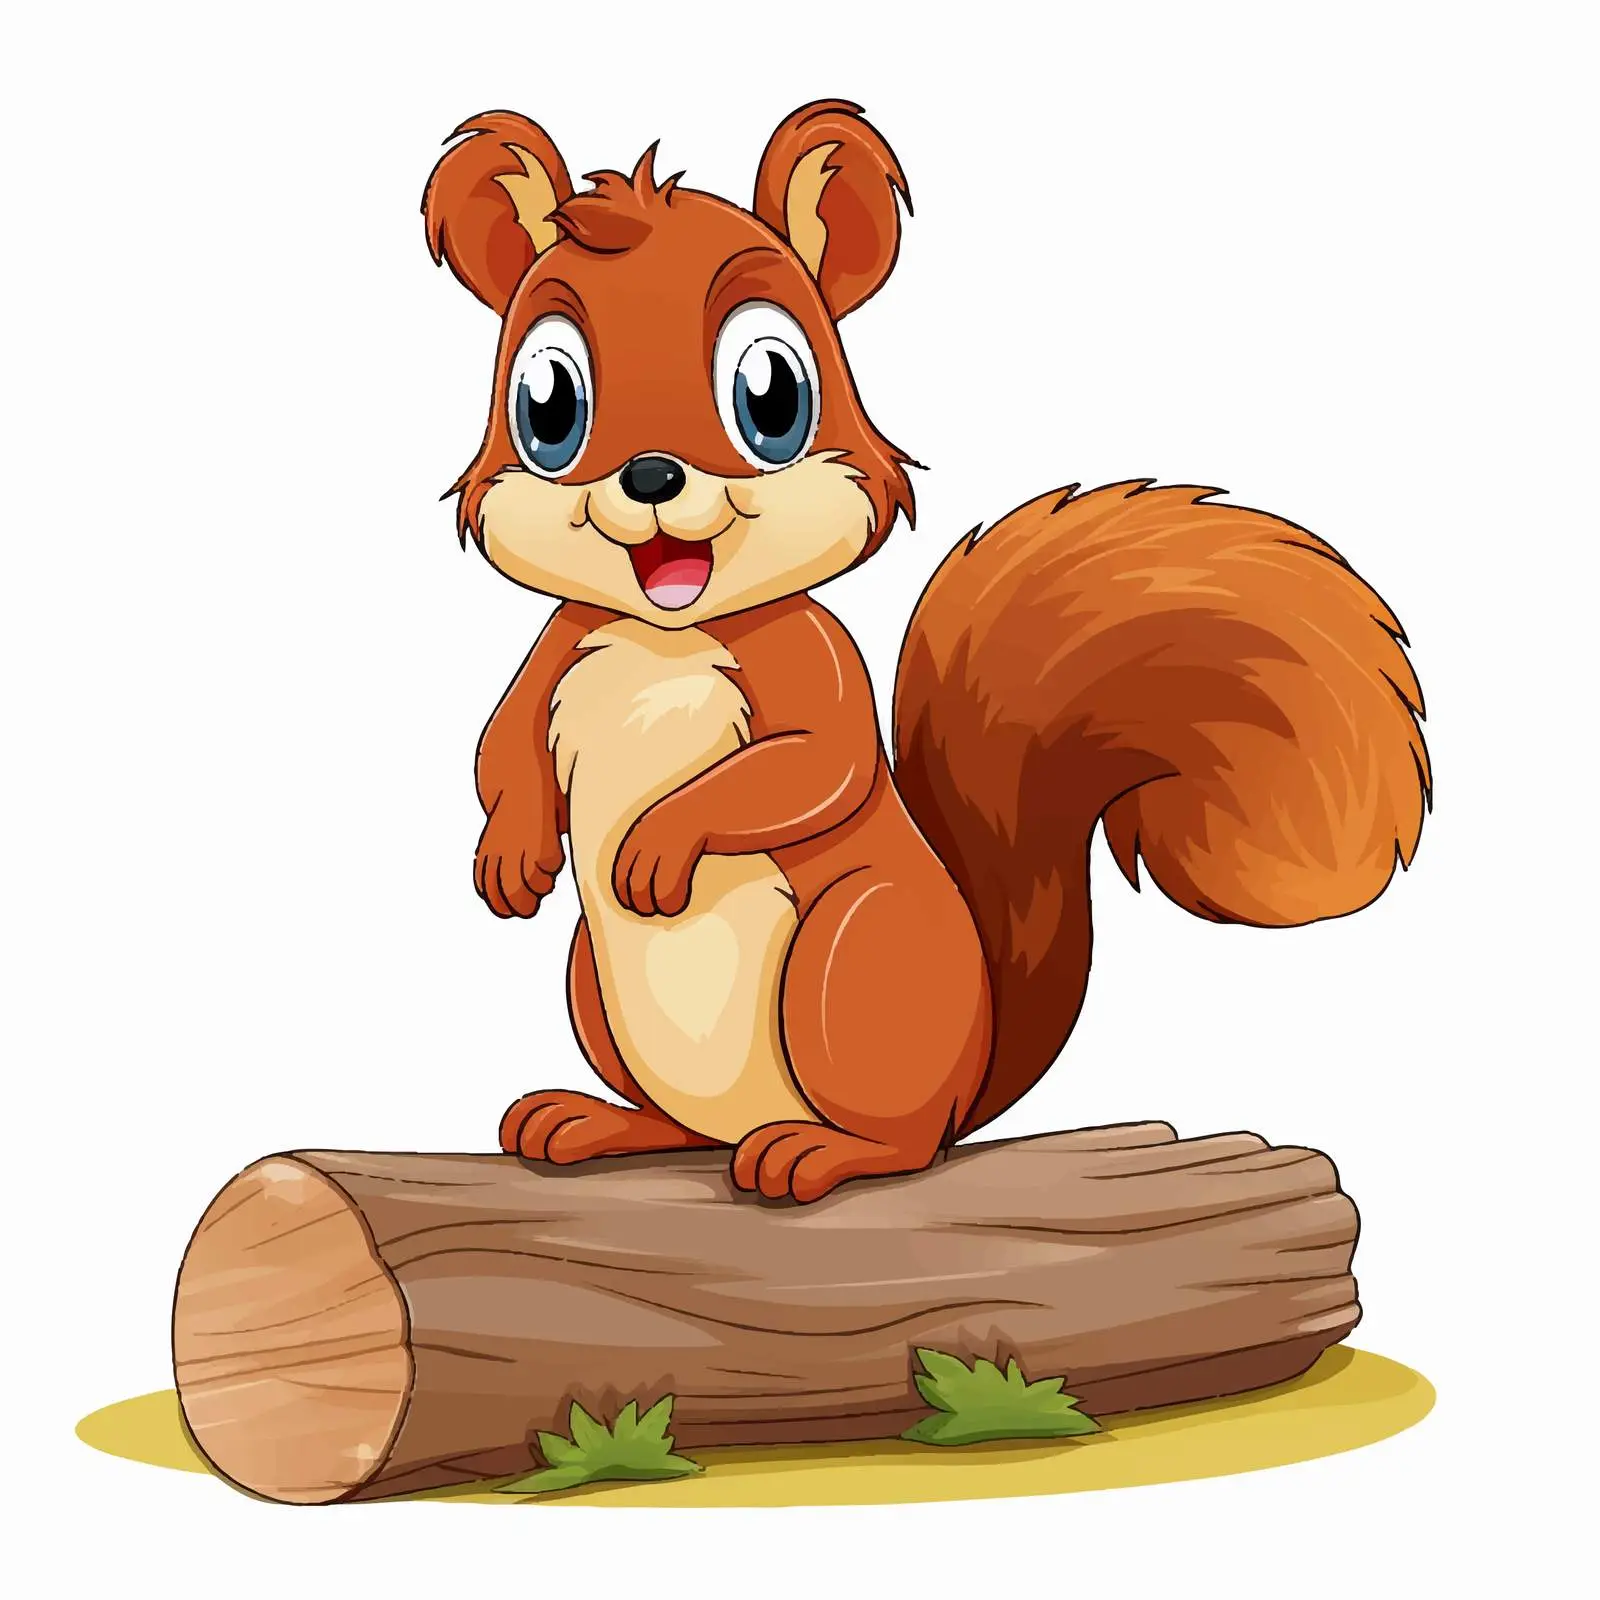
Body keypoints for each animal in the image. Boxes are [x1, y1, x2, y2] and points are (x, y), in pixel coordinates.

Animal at [422, 100, 1430, 1204]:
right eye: (546, 404)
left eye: (772, 395)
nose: (650, 475)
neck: (664, 632)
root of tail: (974, 1073)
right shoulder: (557, 652)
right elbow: (498, 747)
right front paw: (510, 856)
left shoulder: (815, 662)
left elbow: (814, 765)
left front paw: (656, 843)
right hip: (592, 979)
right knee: (676, 1122)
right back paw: (596, 1123)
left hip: (853, 953)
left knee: (898, 1136)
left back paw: (818, 1151)